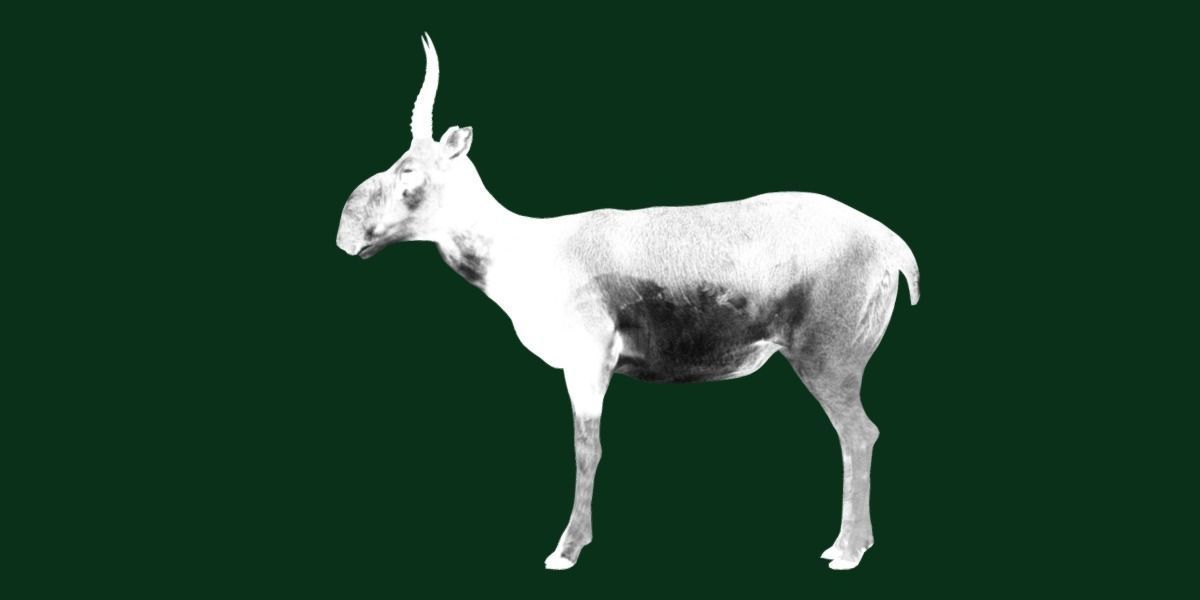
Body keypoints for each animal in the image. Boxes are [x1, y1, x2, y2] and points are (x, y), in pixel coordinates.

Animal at [335, 34, 920, 571]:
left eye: (409, 170)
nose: (346, 234)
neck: (533, 249)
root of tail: (890, 243)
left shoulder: (588, 361)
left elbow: (586, 447)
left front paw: (566, 549)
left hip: (827, 363)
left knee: (860, 434)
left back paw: (846, 551)